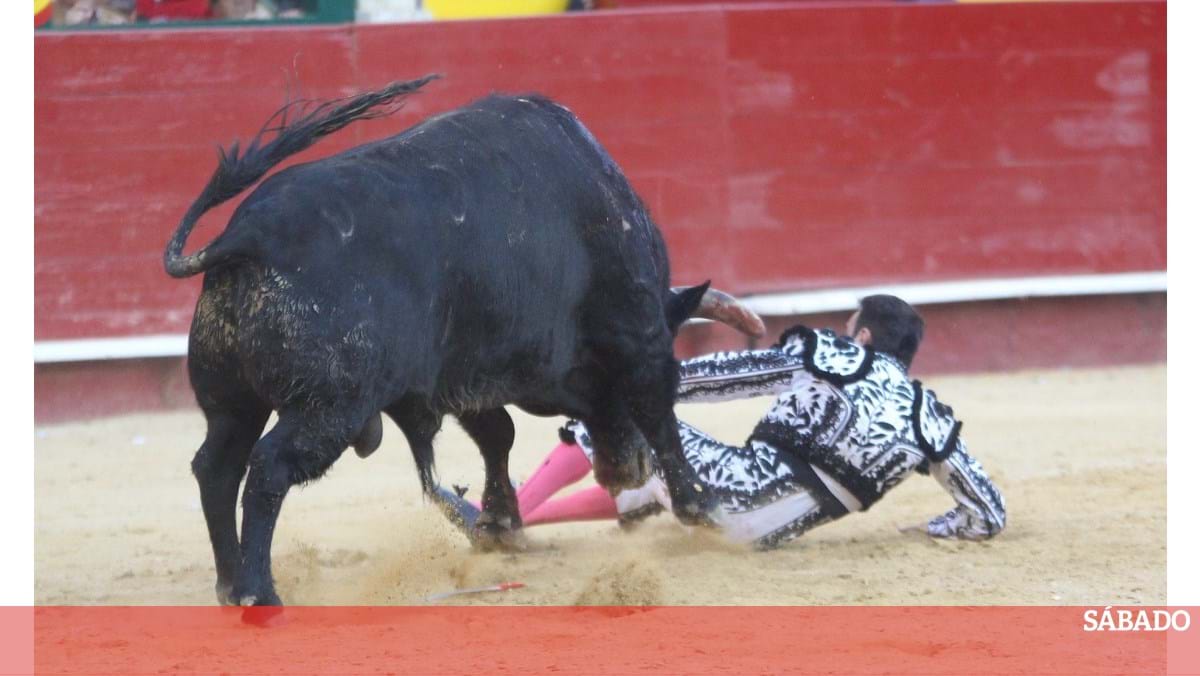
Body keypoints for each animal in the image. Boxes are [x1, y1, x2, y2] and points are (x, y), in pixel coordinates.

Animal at [164, 75, 763, 607]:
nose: (625, 471)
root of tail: (247, 236)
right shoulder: (640, 337)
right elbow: (658, 414)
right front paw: (707, 512)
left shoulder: (469, 372)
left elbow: (497, 435)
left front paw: (500, 525)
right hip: (326, 408)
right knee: (268, 469)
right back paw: (259, 593)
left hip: (232, 401)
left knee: (217, 466)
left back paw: (229, 583)